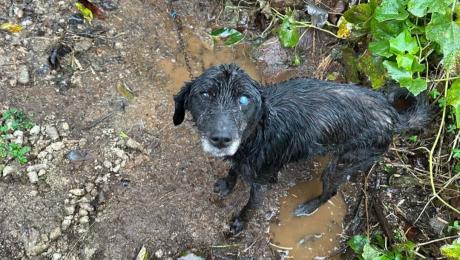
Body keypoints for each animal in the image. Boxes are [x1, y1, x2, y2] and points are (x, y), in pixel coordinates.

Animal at [172, 63, 432, 234]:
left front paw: (239, 223)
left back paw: (308, 207)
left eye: (244, 99)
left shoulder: (262, 183)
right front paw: (227, 184)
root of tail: (392, 114)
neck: (255, 134)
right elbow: (233, 169)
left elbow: (250, 206)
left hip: (341, 165)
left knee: (331, 191)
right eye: (205, 94)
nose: (221, 139)